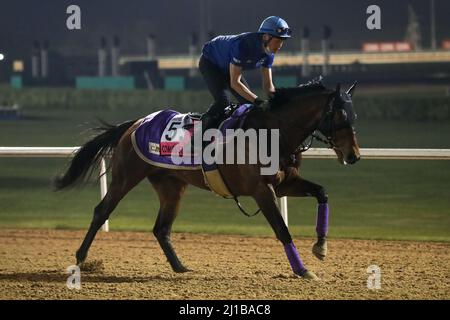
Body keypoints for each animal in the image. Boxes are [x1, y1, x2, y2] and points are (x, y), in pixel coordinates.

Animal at [54, 80, 360, 280]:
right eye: (340, 115)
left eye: (355, 115)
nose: (353, 155)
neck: (272, 133)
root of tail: (135, 123)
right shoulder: (261, 190)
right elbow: (282, 229)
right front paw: (302, 270)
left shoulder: (285, 183)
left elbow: (322, 192)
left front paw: (321, 247)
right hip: (126, 176)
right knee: (101, 210)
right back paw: (81, 258)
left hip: (171, 186)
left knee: (161, 228)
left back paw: (179, 267)